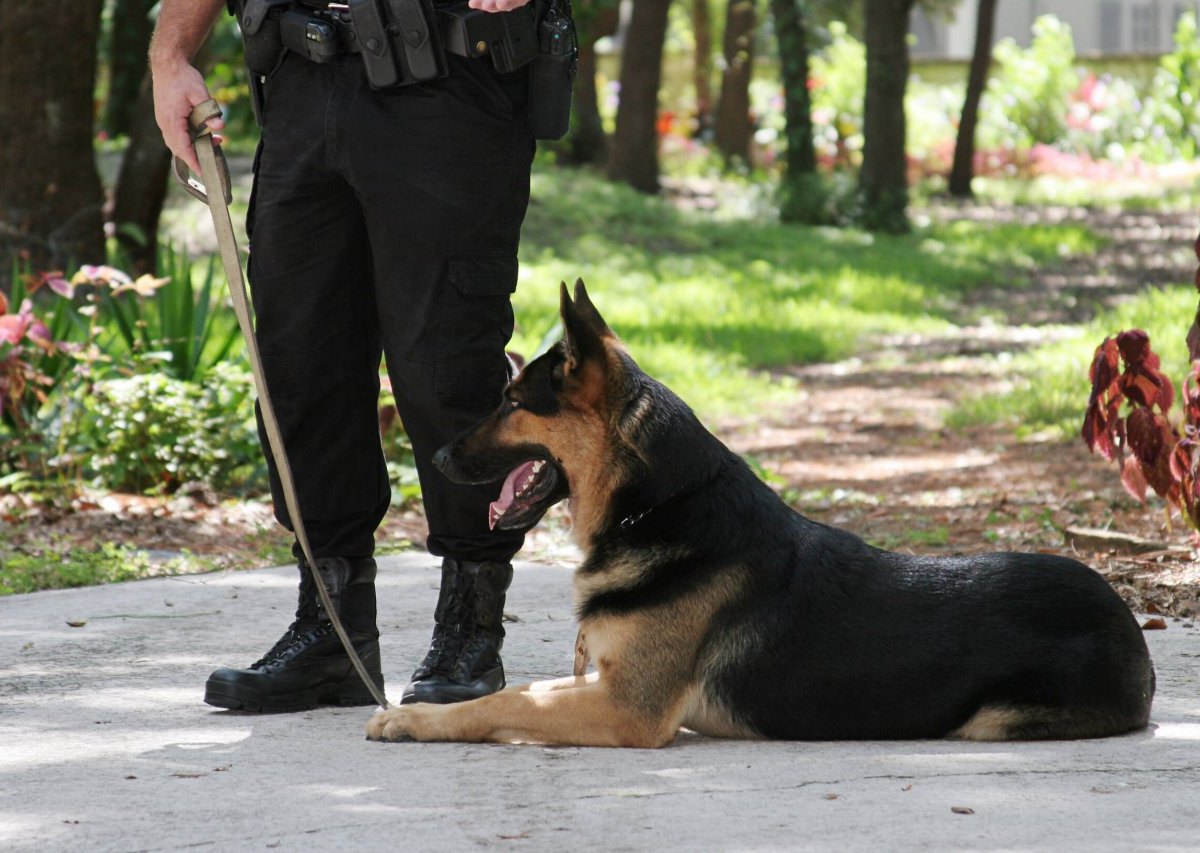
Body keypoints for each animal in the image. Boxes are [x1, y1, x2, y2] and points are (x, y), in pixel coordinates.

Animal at [364, 281, 1152, 748]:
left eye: (513, 402)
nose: (437, 456)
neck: (656, 510)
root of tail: (1128, 619)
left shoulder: (628, 709)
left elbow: (506, 705)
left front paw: (412, 718)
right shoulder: (607, 682)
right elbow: (524, 691)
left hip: (992, 719)